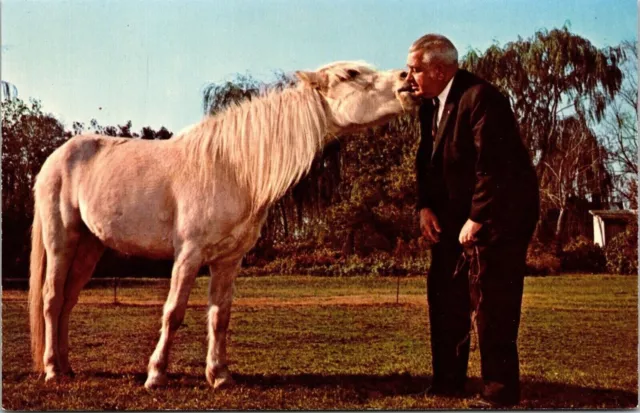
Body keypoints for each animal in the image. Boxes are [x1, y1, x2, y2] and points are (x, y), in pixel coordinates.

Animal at [30, 59, 418, 388]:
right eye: (350, 74)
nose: (408, 79)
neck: (232, 168)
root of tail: (55, 158)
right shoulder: (188, 255)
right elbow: (173, 312)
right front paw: (156, 375)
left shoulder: (229, 261)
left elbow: (220, 316)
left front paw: (219, 376)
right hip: (62, 241)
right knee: (51, 298)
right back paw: (52, 371)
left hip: (90, 247)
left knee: (67, 301)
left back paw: (66, 366)